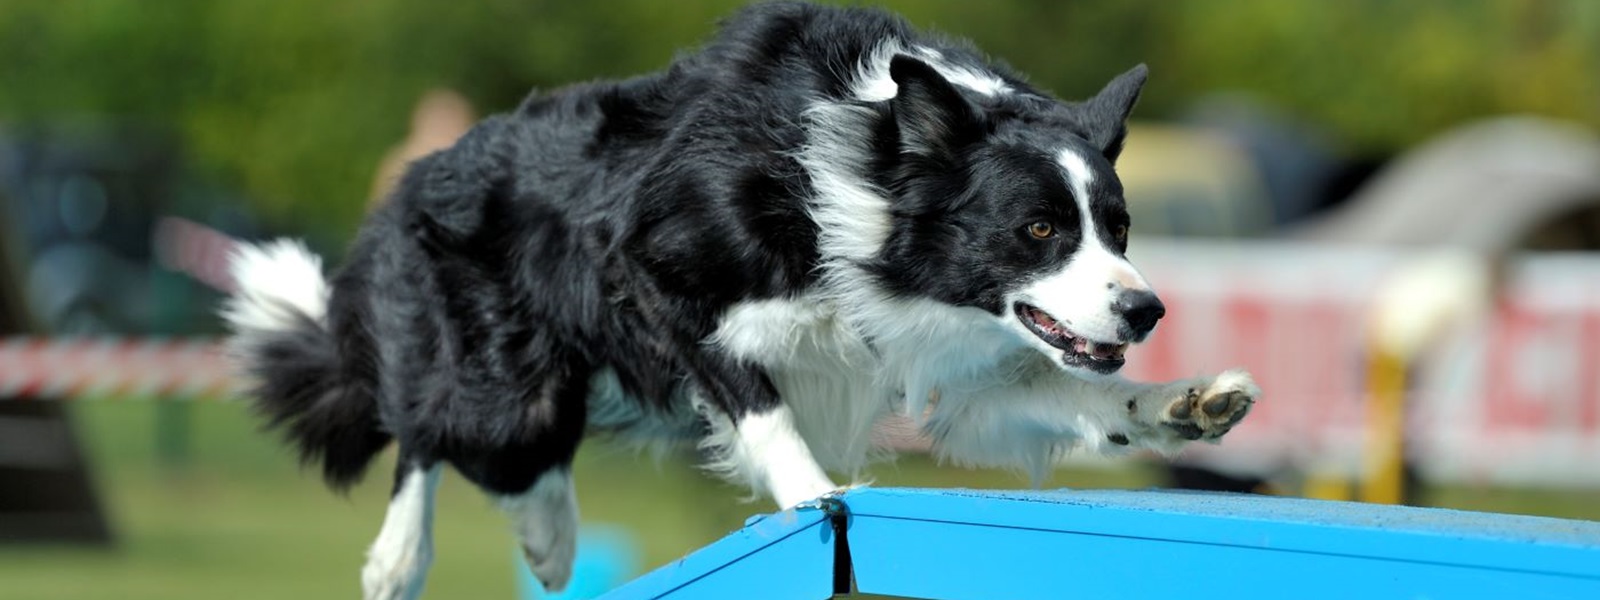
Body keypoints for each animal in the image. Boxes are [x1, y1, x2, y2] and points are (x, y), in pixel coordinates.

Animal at [225, 2, 1260, 598]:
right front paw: (814, 502)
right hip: (499, 383)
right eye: (1039, 229)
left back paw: (552, 540)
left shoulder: (954, 363)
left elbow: (1081, 397)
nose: (1146, 312)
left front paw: (1183, 404)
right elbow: (760, 406)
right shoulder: (652, 273)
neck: (872, 179)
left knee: (517, 456)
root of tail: (419, 173)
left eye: (1117, 229)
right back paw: (402, 557)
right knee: (429, 429)